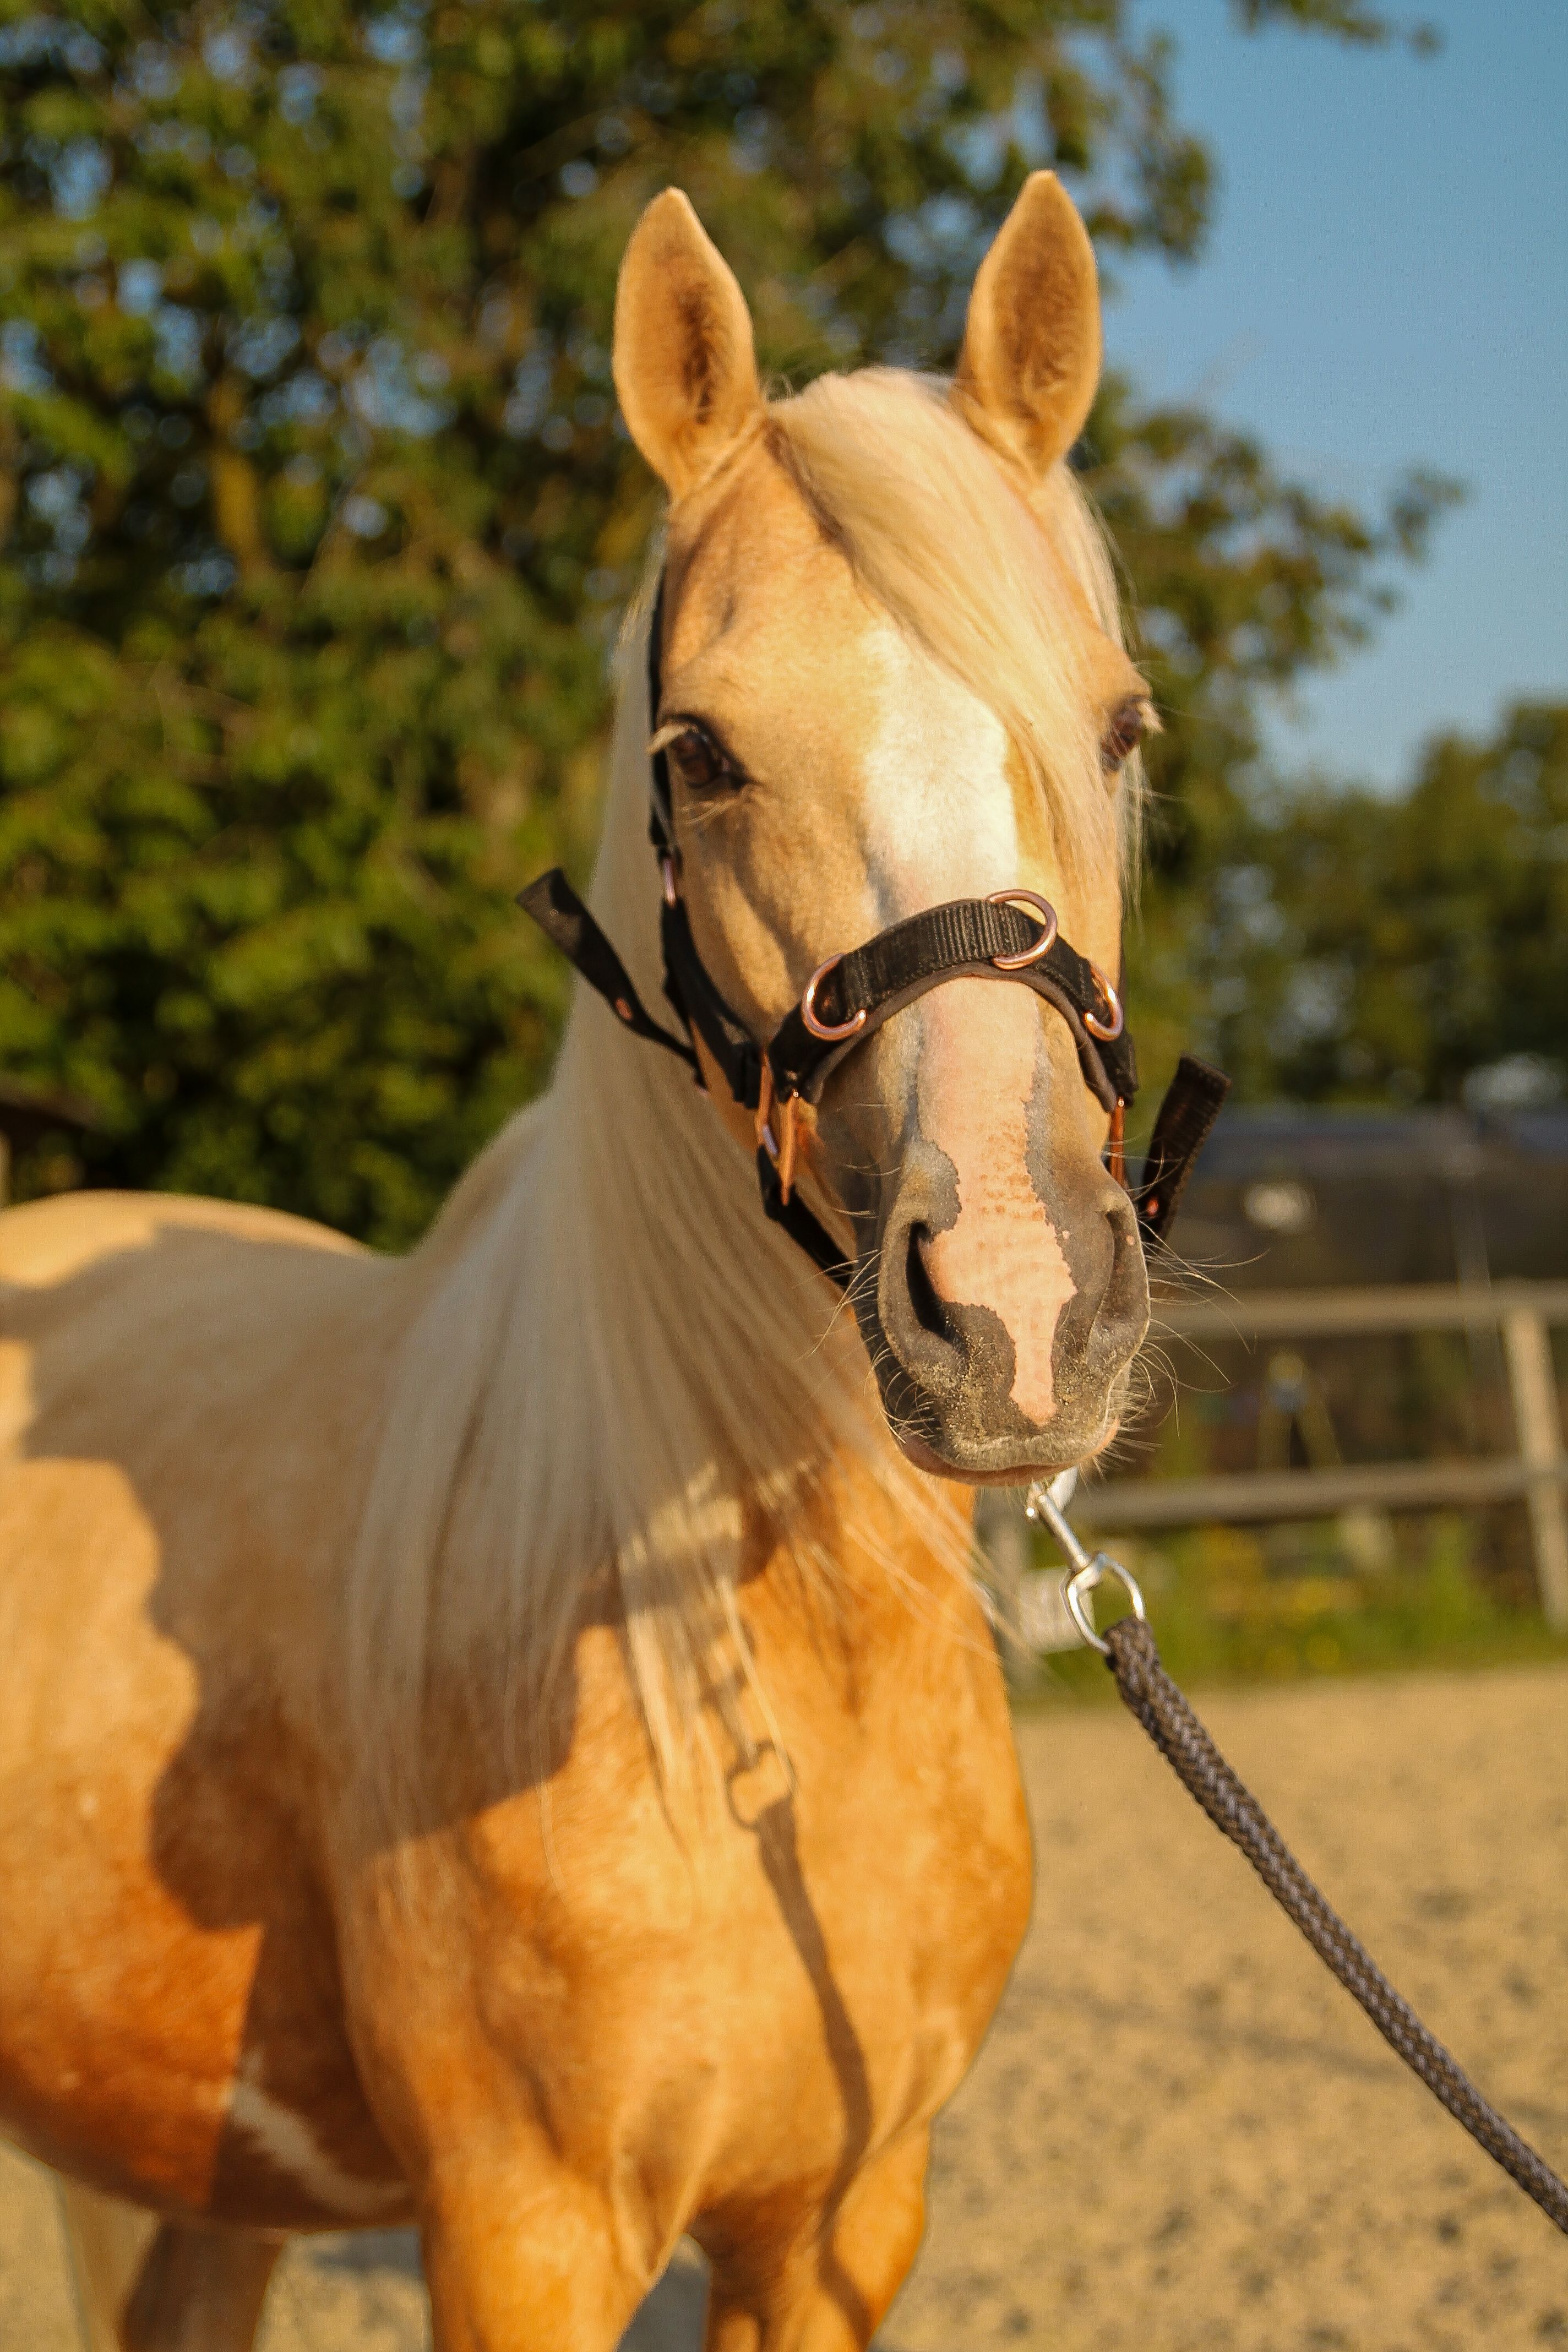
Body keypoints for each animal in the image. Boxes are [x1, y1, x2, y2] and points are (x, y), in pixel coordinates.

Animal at [0, 170, 1153, 2352]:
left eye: (1121, 730)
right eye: (694, 753)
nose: (1021, 1309)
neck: (755, 1690)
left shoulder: (837, 2228)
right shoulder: (521, 2233)